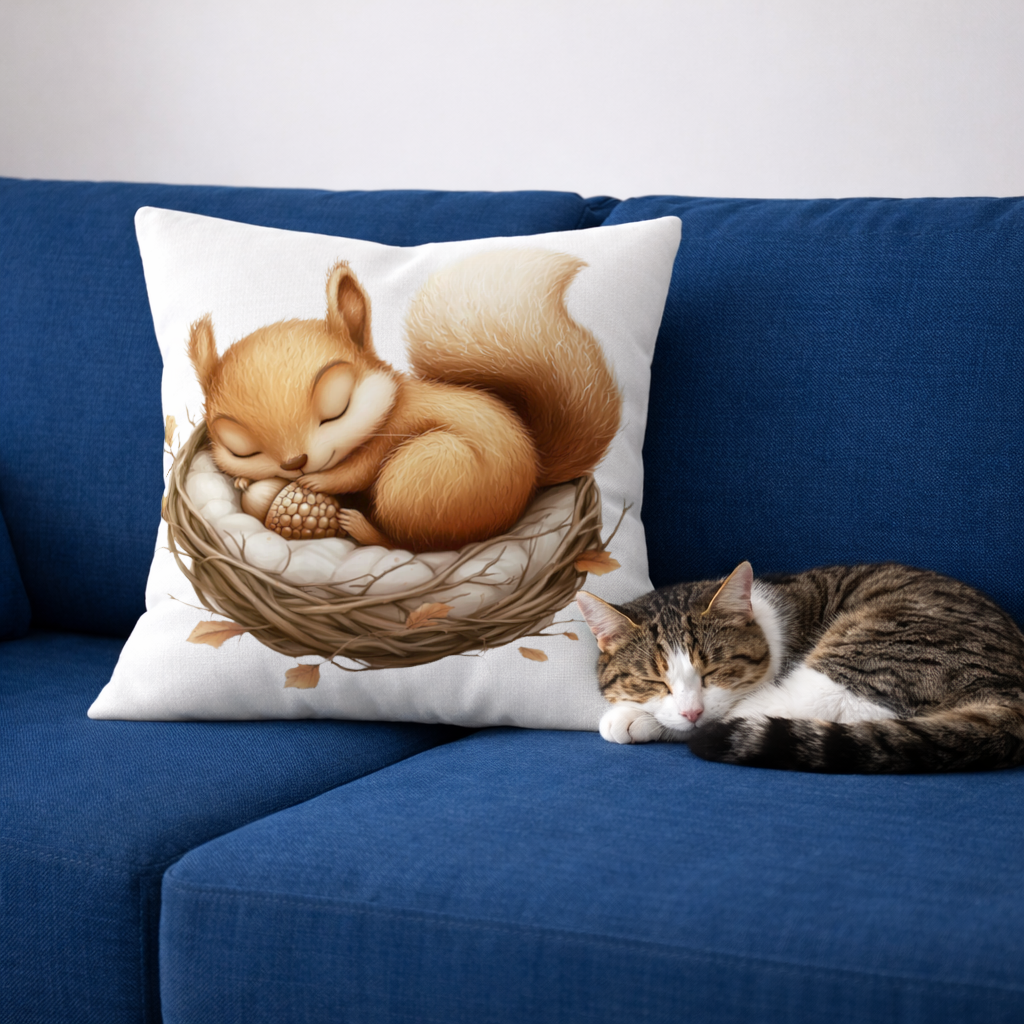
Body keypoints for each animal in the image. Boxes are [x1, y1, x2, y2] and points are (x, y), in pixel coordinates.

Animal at [187, 248, 622, 553]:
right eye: (239, 447)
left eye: (337, 408)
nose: (294, 463)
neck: (393, 398)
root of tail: (532, 481)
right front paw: (246, 479)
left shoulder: (391, 432)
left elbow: (354, 472)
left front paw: (317, 480)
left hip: (424, 477)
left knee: (416, 545)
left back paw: (363, 529)